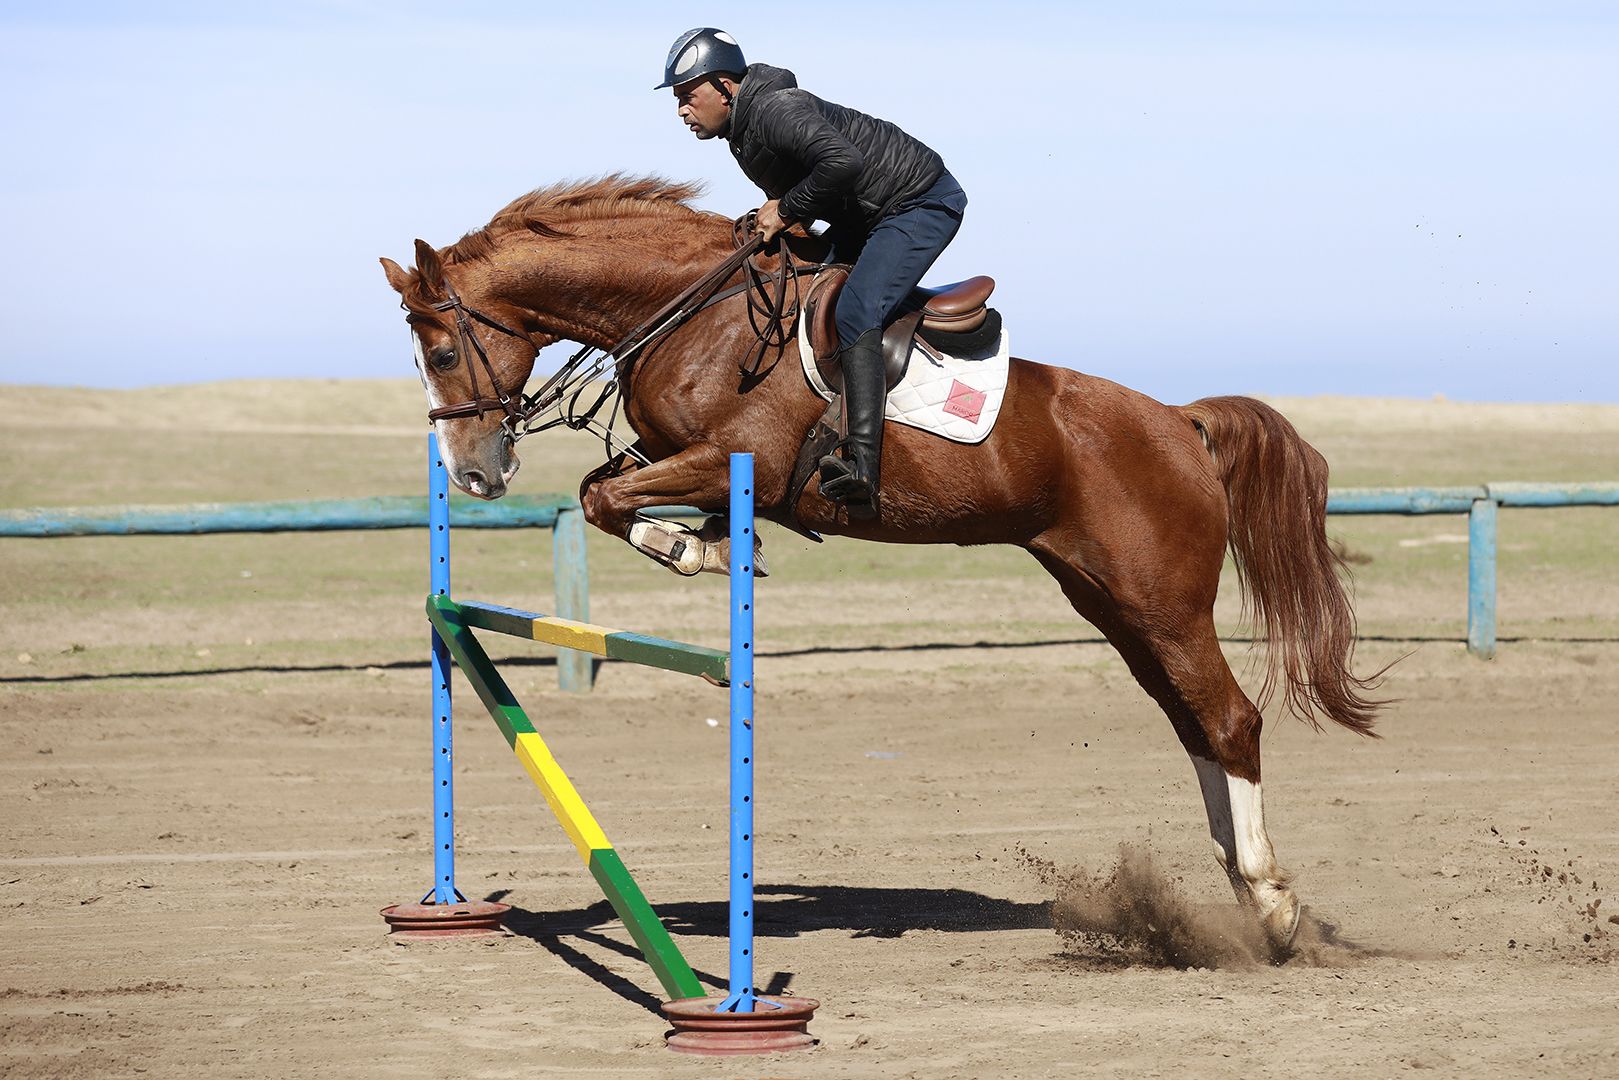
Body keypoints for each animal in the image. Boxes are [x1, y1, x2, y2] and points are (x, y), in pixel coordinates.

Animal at [380, 174, 1384, 955]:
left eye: (442, 350)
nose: (472, 473)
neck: (691, 315)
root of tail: (1179, 420)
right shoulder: (674, 456)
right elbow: (601, 489)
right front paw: (710, 541)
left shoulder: (740, 461)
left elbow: (608, 499)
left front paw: (693, 546)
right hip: (1112, 603)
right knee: (1191, 725)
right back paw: (1240, 889)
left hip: (1160, 600)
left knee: (1229, 720)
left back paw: (1274, 906)